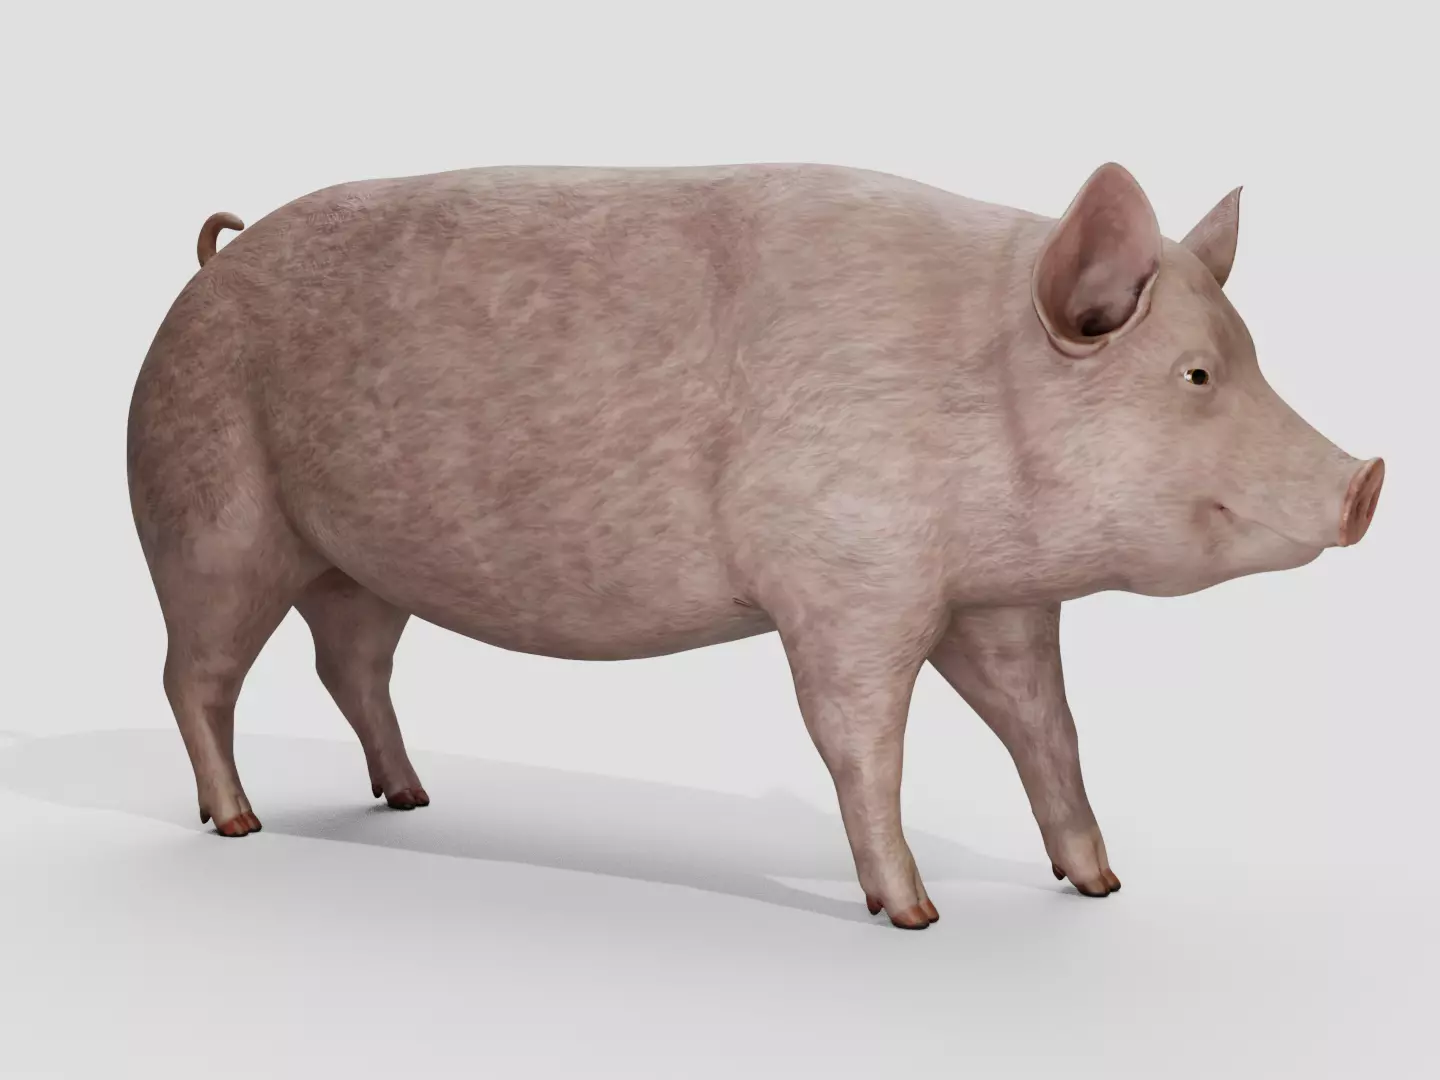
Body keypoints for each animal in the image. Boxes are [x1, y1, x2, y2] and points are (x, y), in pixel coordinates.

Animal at [128, 161, 1383, 929]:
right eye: (1197, 374)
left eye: (1247, 355)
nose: (1368, 480)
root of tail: (208, 266)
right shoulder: (844, 586)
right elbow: (859, 741)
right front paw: (913, 915)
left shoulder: (991, 599)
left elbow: (1047, 729)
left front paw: (1103, 885)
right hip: (209, 522)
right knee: (193, 675)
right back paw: (240, 821)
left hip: (352, 563)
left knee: (351, 663)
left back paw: (410, 799)